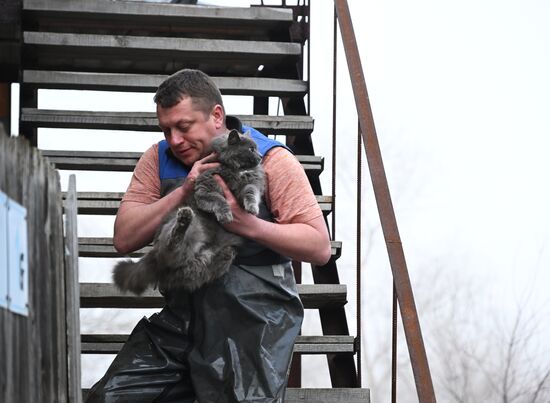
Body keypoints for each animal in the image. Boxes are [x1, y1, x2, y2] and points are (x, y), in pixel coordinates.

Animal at [112, 131, 266, 296]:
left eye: (257, 148)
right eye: (251, 149)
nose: (261, 156)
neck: (234, 168)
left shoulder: (250, 183)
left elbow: (251, 193)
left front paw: (252, 209)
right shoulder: (205, 190)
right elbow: (220, 200)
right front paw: (226, 215)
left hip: (224, 252)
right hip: (192, 228)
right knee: (171, 248)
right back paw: (184, 218)